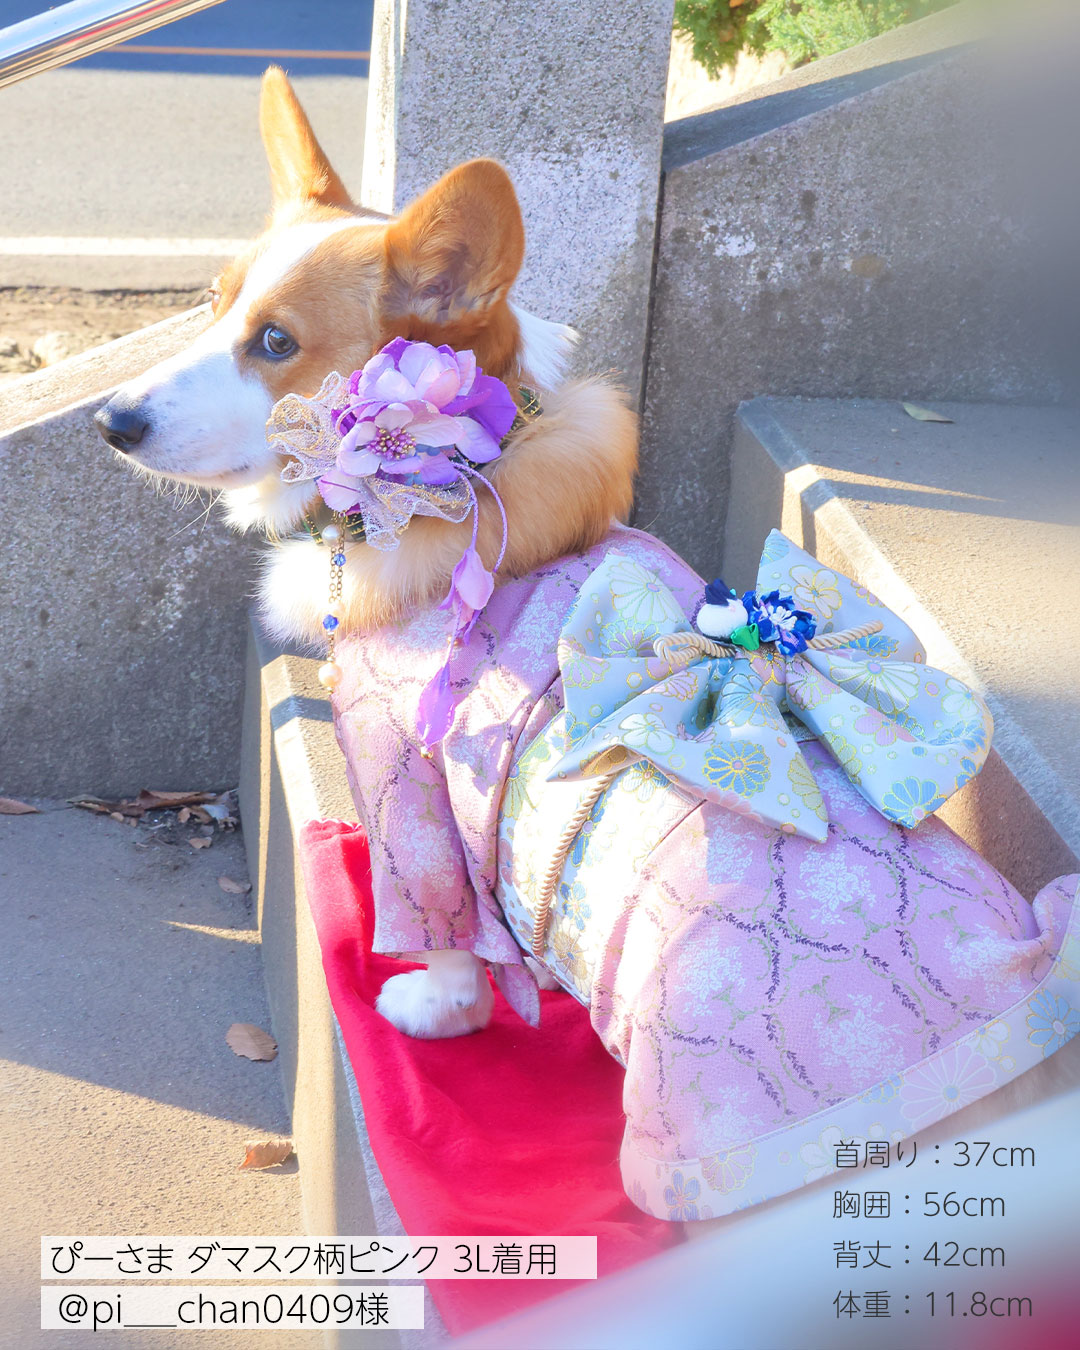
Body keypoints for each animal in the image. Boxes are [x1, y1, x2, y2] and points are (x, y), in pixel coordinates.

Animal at [97, 65, 1074, 1225]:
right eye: (211, 306)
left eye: (278, 344)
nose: (109, 421)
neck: (456, 474)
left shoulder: (401, 786)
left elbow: (438, 922)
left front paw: (436, 1005)